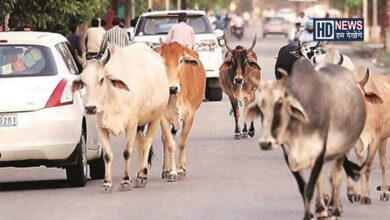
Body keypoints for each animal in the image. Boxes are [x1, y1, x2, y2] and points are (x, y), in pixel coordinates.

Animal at [72, 43, 170, 192]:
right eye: (83, 81)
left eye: (101, 79)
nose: (90, 108)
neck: (113, 96)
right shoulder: (101, 126)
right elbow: (107, 155)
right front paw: (107, 183)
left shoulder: (131, 124)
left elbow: (127, 153)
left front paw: (125, 181)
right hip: (140, 125)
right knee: (141, 145)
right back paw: (139, 175)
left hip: (156, 116)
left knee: (147, 143)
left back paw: (142, 176)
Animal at [155, 39, 206, 180]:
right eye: (162, 60)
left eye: (181, 60)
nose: (172, 88)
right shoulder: (163, 117)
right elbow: (169, 143)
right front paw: (172, 172)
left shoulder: (190, 115)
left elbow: (182, 142)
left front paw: (180, 169)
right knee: (165, 139)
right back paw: (166, 169)